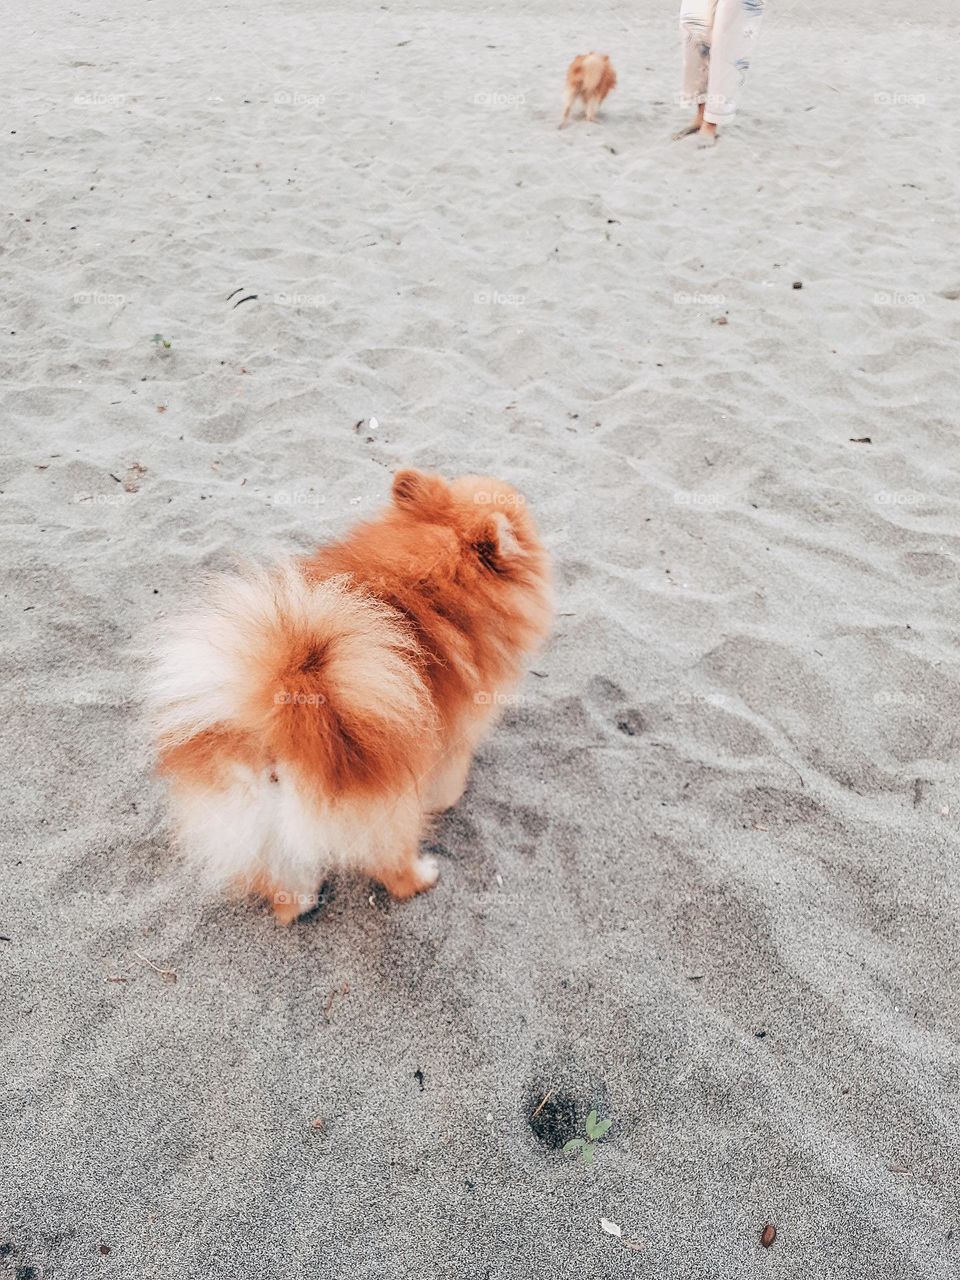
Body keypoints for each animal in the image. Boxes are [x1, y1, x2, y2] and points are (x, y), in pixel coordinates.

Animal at [150, 468, 555, 921]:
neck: (432, 577)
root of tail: (278, 727)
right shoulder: (454, 738)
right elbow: (449, 783)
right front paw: (450, 801)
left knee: (282, 886)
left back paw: (300, 903)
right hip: (391, 810)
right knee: (391, 867)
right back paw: (423, 875)